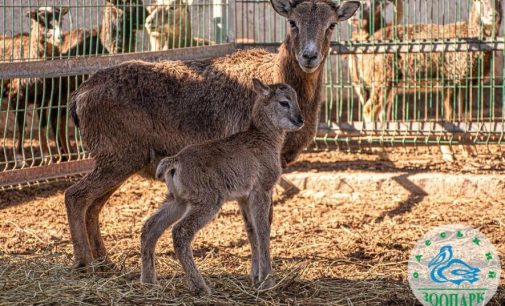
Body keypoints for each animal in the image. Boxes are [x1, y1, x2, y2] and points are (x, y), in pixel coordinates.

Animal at [139, 79, 304, 294]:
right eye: (284, 102)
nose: (300, 120)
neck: (265, 139)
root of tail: (175, 162)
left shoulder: (243, 196)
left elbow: (250, 230)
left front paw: (255, 277)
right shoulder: (262, 188)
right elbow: (263, 230)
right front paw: (268, 281)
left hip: (178, 199)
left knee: (150, 226)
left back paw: (149, 281)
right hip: (208, 199)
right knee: (180, 232)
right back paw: (200, 287)